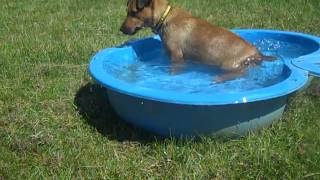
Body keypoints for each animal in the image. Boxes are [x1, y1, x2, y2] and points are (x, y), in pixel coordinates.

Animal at [120, 0, 276, 82]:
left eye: (133, 13)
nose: (121, 29)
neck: (165, 17)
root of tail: (257, 53)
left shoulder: (177, 56)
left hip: (230, 65)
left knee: (240, 73)